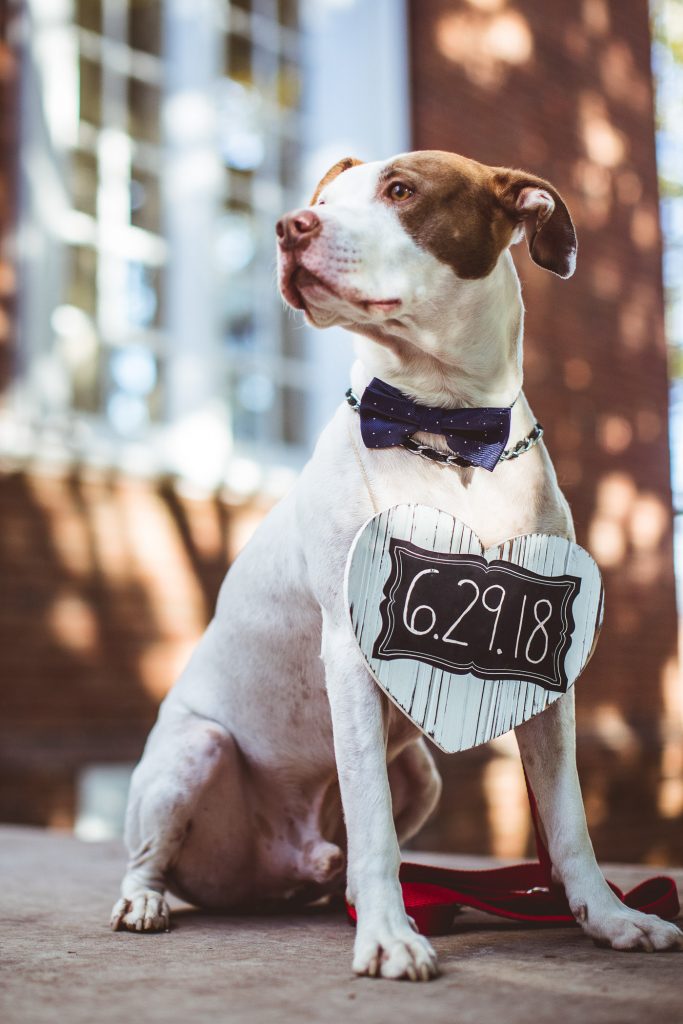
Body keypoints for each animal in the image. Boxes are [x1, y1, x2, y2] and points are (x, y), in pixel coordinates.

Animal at [112, 149, 683, 974]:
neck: (446, 429)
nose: (289, 226)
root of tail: (277, 864)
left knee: (342, 856)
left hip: (420, 770)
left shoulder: (545, 682)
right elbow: (371, 816)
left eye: (401, 191)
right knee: (152, 853)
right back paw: (146, 900)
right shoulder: (350, 654)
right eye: (321, 204)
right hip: (193, 752)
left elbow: (567, 819)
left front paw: (609, 918)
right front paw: (386, 935)